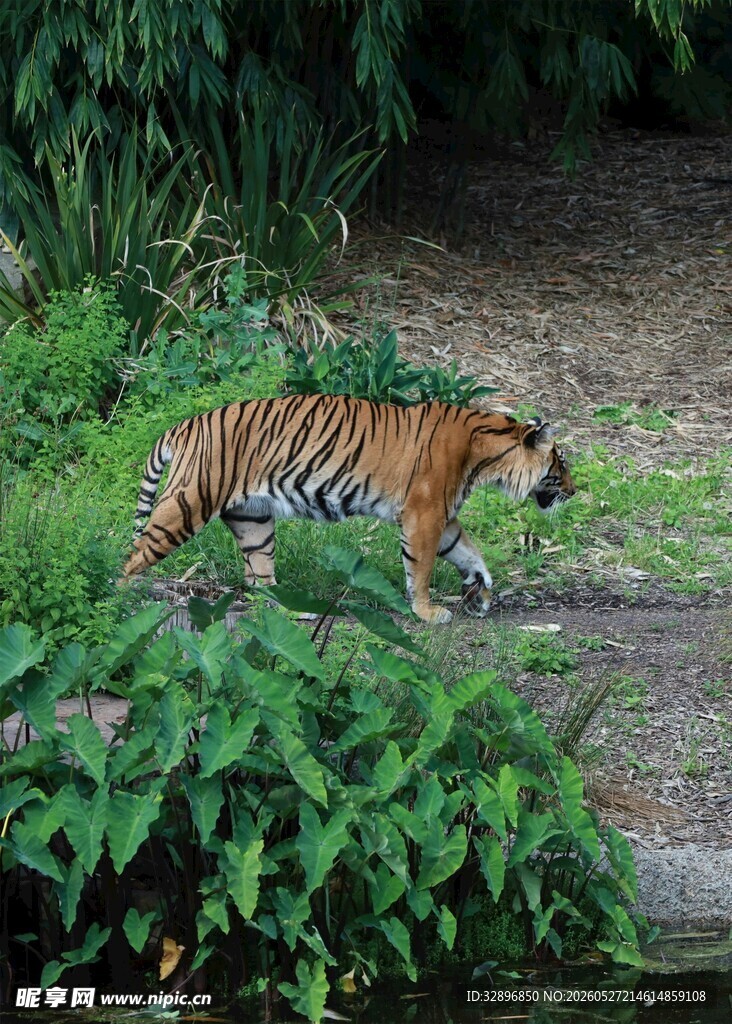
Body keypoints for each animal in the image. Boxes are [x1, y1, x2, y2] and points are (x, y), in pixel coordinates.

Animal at [122, 394, 576, 623]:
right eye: (562, 463)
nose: (573, 491)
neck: (486, 454)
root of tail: (186, 423)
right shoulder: (424, 513)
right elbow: (422, 568)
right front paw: (427, 612)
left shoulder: (443, 516)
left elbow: (467, 550)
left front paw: (479, 586)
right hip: (188, 503)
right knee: (132, 559)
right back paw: (124, 601)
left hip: (253, 520)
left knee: (258, 580)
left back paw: (294, 610)